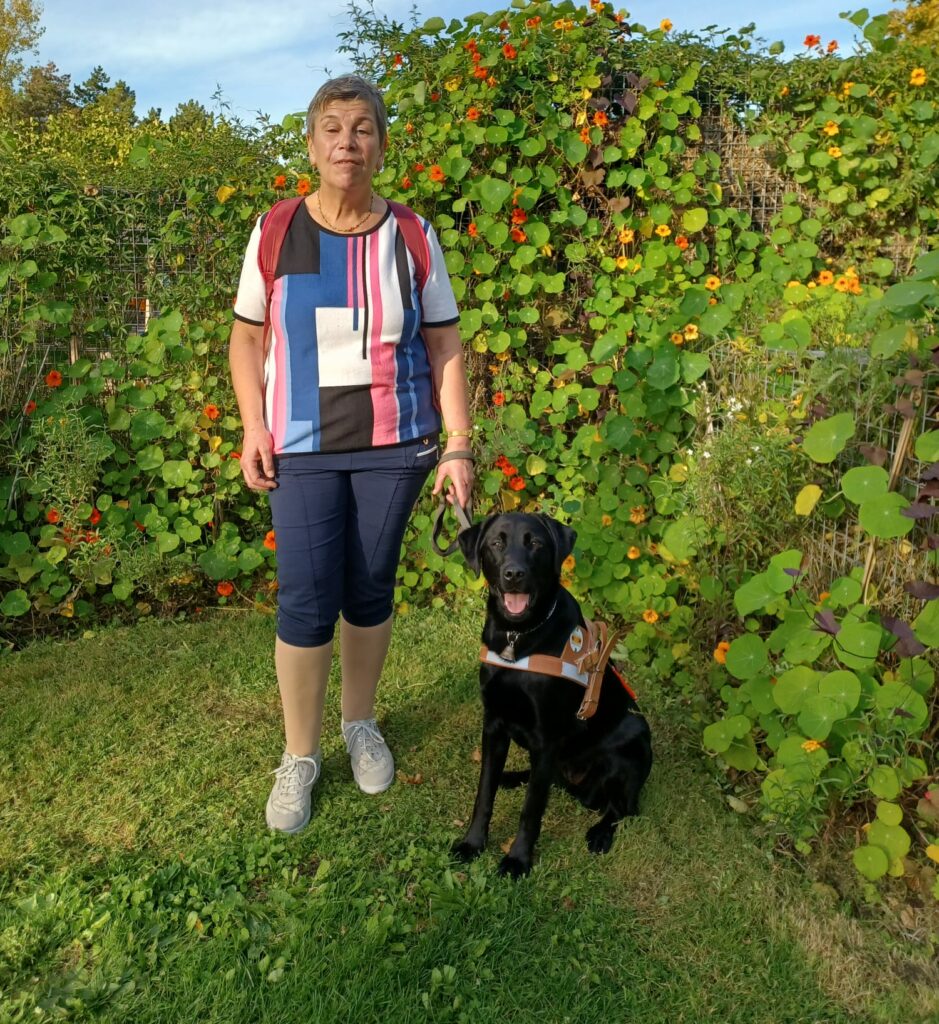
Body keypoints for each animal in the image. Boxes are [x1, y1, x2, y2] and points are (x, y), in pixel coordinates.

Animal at [454, 512, 651, 880]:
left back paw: (601, 832)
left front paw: (517, 860)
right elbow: (484, 793)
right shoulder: (494, 725)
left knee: (623, 807)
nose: (514, 574)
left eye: (535, 543)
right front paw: (473, 843)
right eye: (496, 543)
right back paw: (511, 777)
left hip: (633, 740)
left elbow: (531, 810)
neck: (518, 638)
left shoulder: (545, 738)